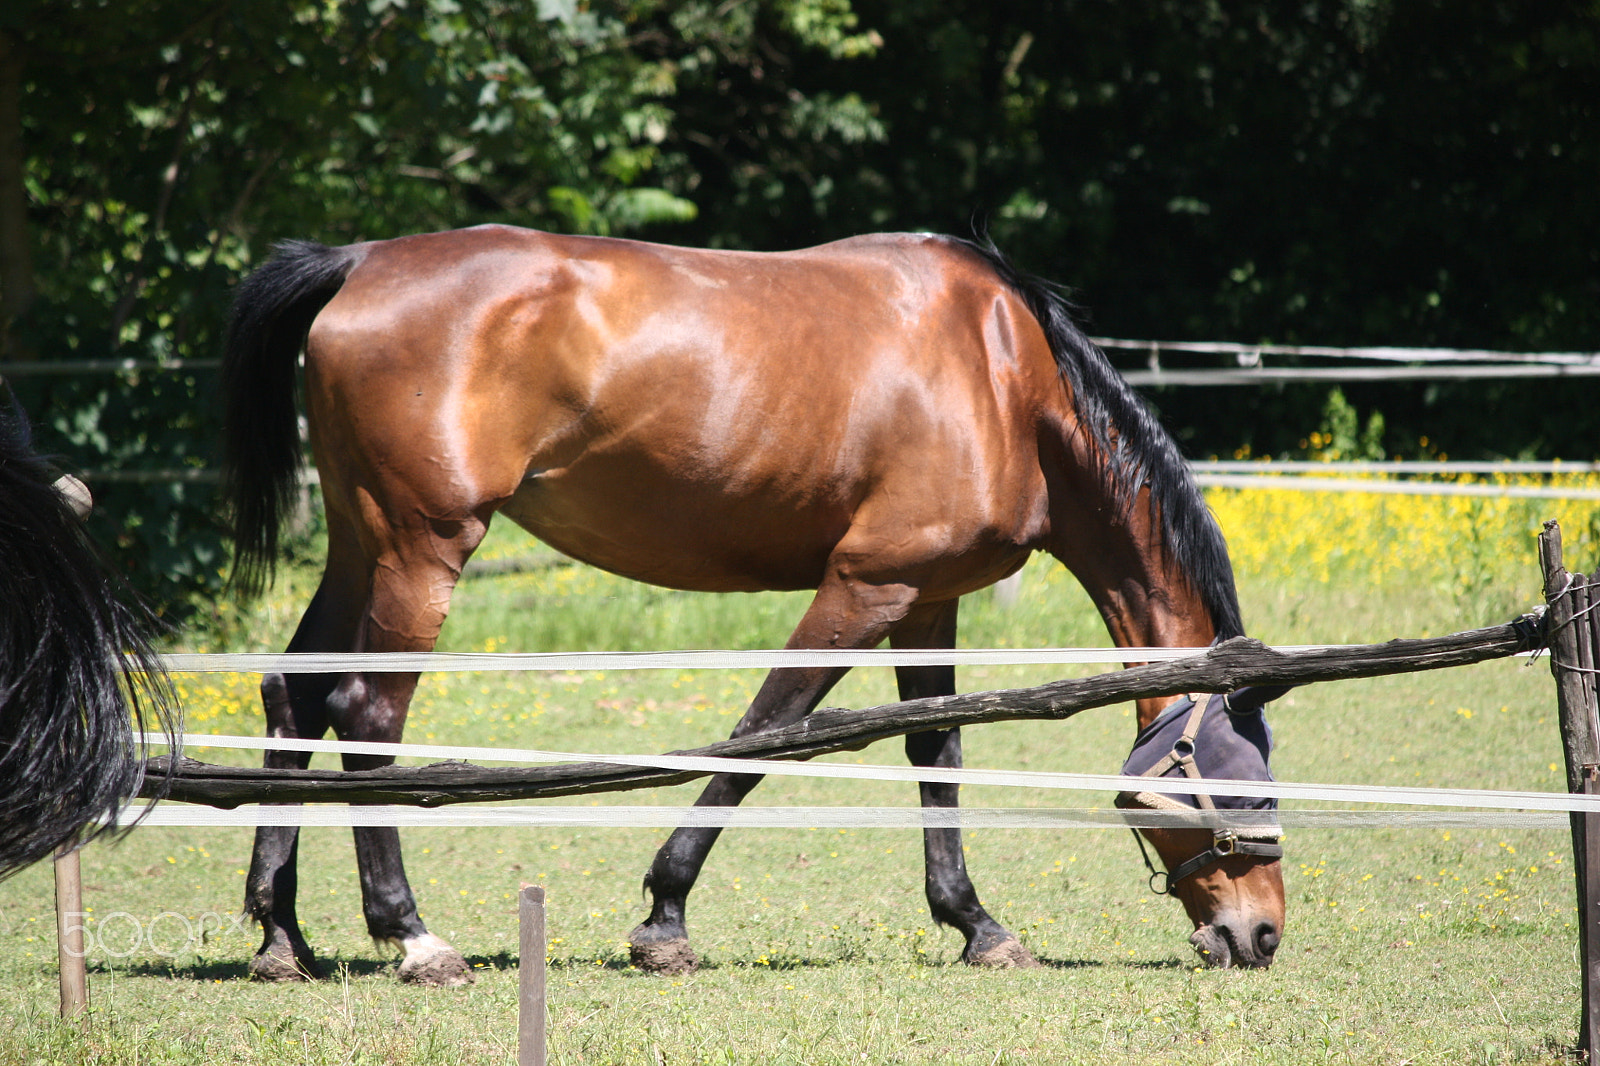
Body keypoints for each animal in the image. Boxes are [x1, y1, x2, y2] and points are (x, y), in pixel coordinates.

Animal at [220, 225, 1287, 985]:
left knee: (295, 694)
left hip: (363, 544)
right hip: (423, 548)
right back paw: (413, 937)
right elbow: (769, 732)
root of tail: (359, 263)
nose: (1263, 933)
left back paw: (283, 937)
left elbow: (935, 751)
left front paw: (977, 925)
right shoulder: (867, 584)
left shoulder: (928, 598)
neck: (1005, 378)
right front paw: (664, 915)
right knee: (367, 713)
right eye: (1246, 786)